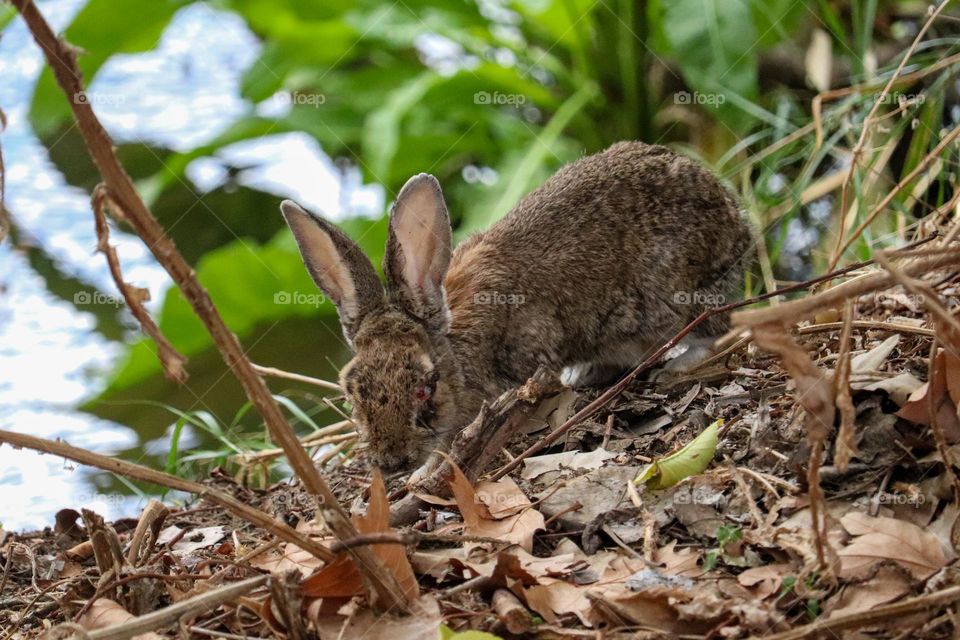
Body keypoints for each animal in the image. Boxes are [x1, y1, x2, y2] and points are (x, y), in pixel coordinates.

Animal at [280, 141, 753, 471]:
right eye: (350, 389)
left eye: (424, 387)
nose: (391, 461)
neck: (456, 350)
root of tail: (737, 222)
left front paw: (422, 473)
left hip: (675, 296)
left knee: (719, 330)